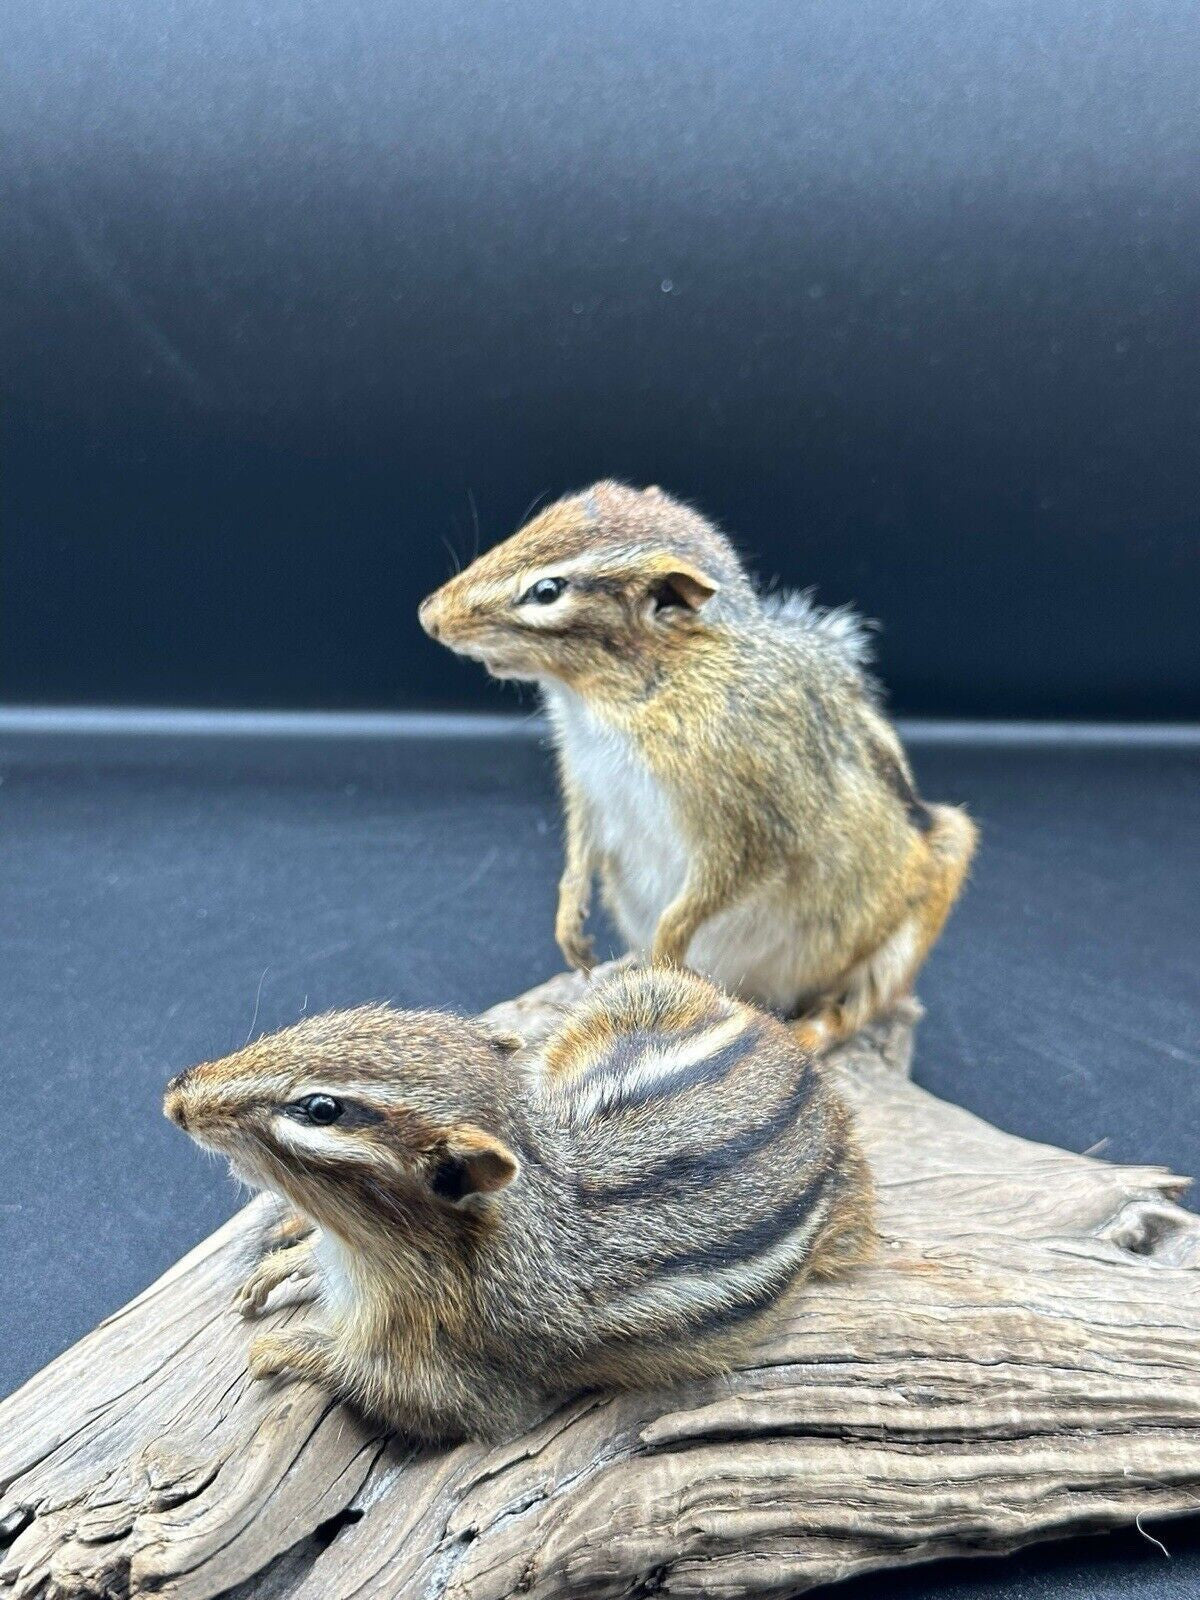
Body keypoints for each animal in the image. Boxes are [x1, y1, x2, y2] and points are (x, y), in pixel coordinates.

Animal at [163, 964, 873, 1443]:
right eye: (323, 1024)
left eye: (319, 1109)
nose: (175, 1094)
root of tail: (797, 1054)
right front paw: (288, 1261)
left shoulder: (460, 1373)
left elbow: (402, 1393)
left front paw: (288, 1349)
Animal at [419, 481, 977, 1052]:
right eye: (539, 521)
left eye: (548, 591)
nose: (428, 615)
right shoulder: (586, 785)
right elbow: (579, 849)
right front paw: (570, 923)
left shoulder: (752, 826)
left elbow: (702, 899)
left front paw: (666, 952)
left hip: (920, 907)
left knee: (853, 1007)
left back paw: (801, 1033)